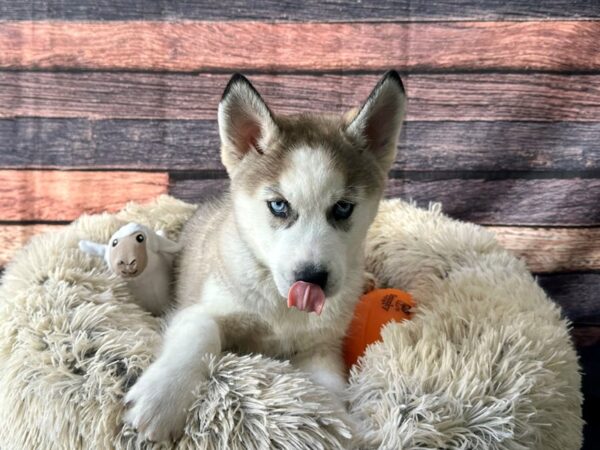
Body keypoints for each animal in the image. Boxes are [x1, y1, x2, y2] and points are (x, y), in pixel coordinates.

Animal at [123, 71, 406, 442]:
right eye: (279, 205)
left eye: (343, 208)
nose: (312, 278)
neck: (281, 308)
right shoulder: (199, 309)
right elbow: (200, 332)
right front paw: (161, 398)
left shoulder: (321, 347)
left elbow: (329, 390)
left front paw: (340, 426)